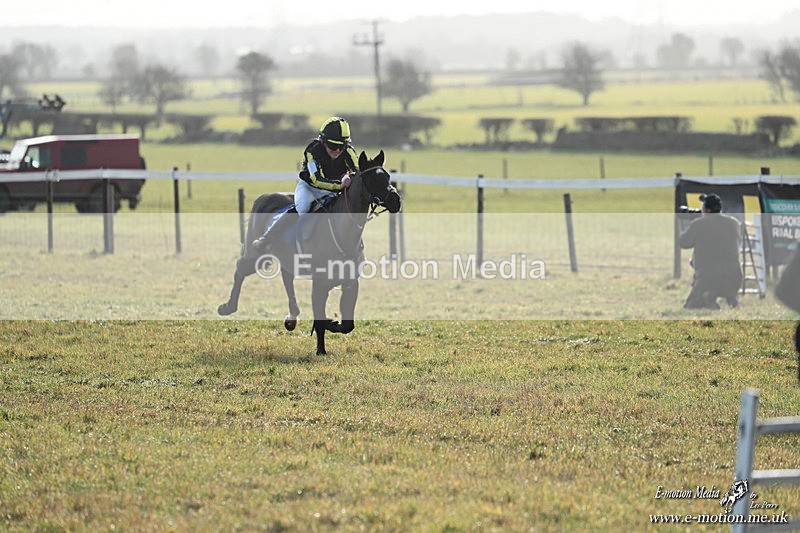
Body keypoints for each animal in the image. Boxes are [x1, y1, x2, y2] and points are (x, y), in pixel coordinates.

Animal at [218, 150, 402, 355]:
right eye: (371, 178)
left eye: (387, 176)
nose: (395, 200)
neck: (343, 233)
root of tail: (264, 197)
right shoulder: (319, 284)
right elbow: (320, 319)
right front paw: (321, 348)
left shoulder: (351, 282)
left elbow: (347, 325)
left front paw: (332, 324)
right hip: (256, 255)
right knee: (241, 268)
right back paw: (227, 306)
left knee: (286, 277)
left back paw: (292, 318)